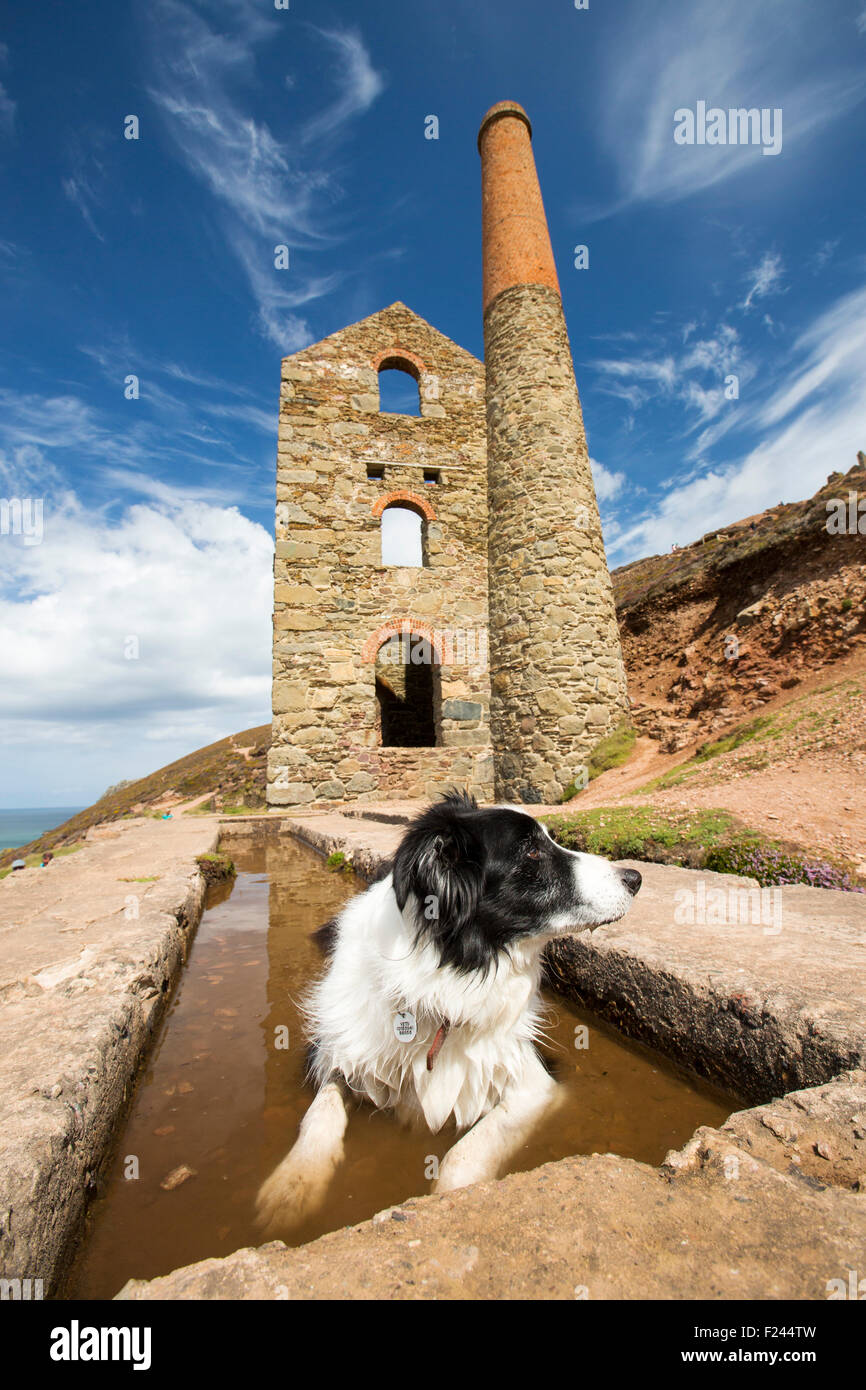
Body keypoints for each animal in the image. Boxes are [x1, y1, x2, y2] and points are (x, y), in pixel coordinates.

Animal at [254, 789, 639, 1234]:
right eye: (531, 851)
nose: (635, 878)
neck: (448, 976)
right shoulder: (341, 1047)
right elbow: (321, 1110)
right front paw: (292, 1184)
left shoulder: (532, 1083)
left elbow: (464, 1155)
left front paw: (452, 1200)